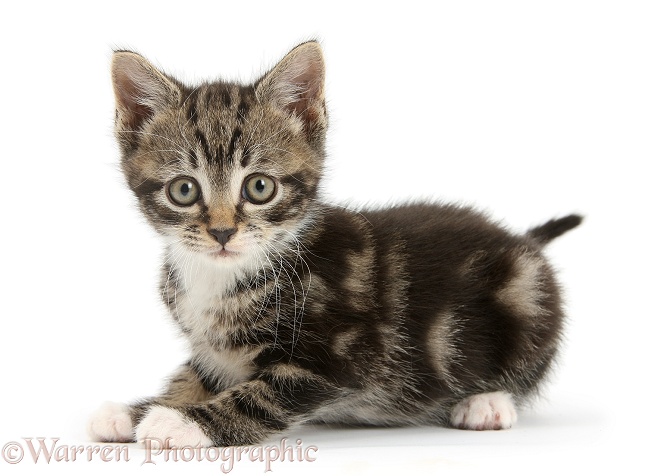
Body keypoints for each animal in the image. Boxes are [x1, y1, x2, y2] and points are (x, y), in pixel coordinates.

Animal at [87, 41, 580, 446]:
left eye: (260, 187)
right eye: (184, 190)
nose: (223, 232)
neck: (227, 275)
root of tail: (521, 241)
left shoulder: (340, 358)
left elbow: (260, 395)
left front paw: (179, 422)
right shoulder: (213, 352)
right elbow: (192, 376)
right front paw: (137, 410)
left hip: (526, 294)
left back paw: (486, 402)